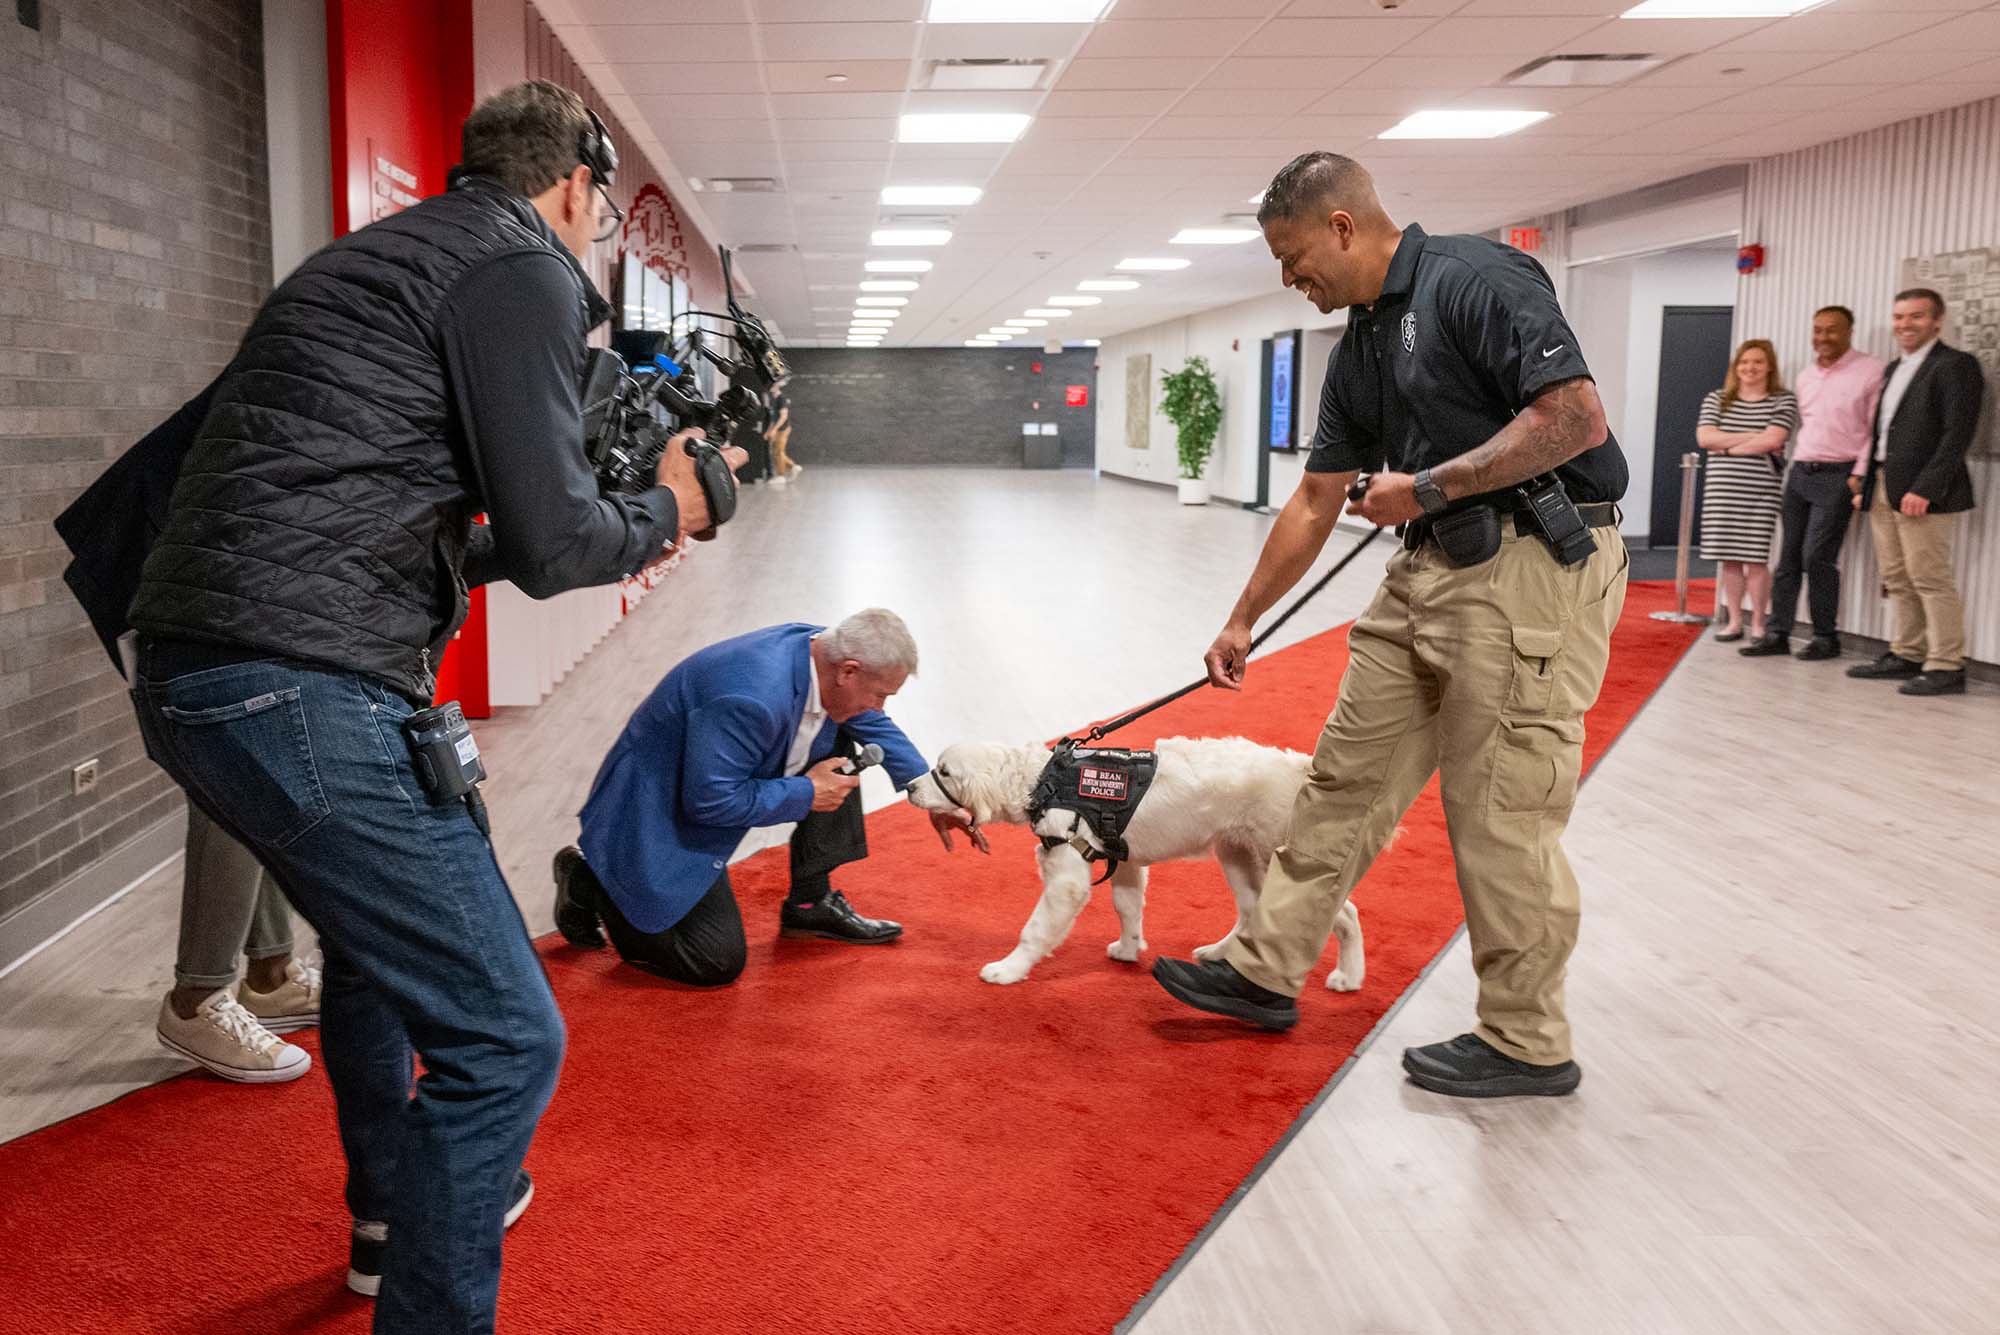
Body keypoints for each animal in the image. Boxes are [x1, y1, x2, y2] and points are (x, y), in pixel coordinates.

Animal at [904, 735, 1360, 987]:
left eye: (944, 772)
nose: (908, 787)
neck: (1044, 780)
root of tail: (1299, 766)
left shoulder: (1066, 879)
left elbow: (1034, 930)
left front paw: (1009, 969)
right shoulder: (1123, 860)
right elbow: (1127, 907)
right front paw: (1128, 948)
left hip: (1275, 858)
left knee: (1343, 913)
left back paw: (1349, 976)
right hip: (1239, 855)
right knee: (1250, 913)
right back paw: (1218, 954)